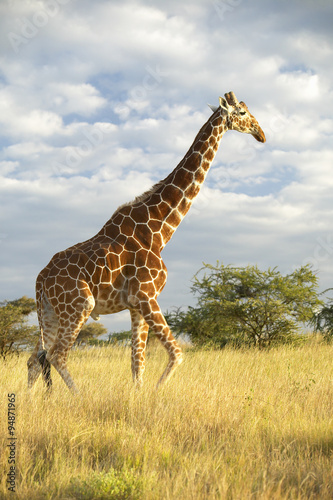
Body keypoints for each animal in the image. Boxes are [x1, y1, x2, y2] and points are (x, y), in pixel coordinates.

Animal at [27, 92, 264, 392]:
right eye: (242, 112)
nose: (261, 134)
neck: (159, 230)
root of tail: (40, 278)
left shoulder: (135, 304)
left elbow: (137, 363)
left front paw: (138, 396)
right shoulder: (146, 295)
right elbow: (176, 354)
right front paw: (155, 393)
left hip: (49, 312)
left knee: (36, 358)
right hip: (79, 305)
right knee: (56, 355)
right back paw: (80, 397)